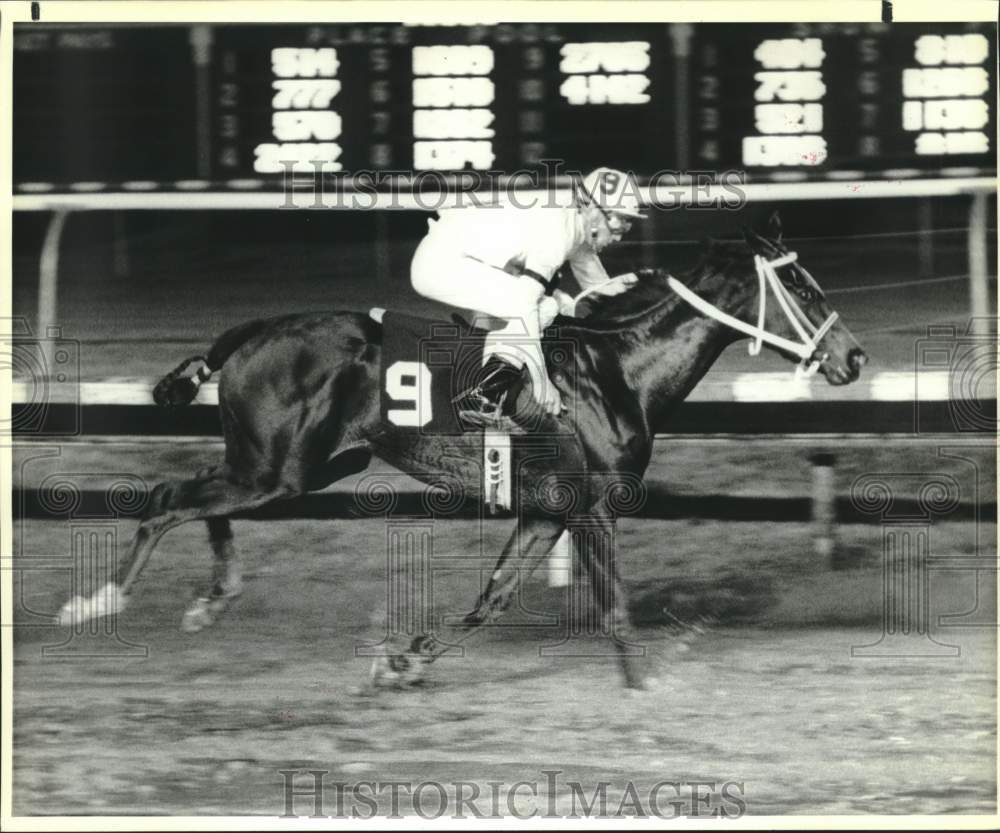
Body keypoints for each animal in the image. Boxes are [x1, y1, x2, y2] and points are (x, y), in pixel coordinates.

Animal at [58, 216, 868, 688]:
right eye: (800, 284)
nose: (854, 358)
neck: (618, 372)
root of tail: (254, 330)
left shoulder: (546, 510)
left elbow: (493, 597)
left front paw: (405, 657)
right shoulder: (590, 506)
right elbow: (613, 605)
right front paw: (640, 686)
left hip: (303, 465)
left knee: (198, 495)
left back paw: (212, 598)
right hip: (277, 468)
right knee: (170, 499)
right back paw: (99, 600)